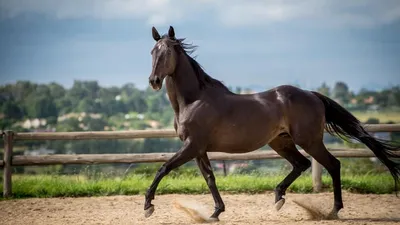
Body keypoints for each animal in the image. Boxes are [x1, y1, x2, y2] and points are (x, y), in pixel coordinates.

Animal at [144, 25, 400, 221]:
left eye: (167, 52)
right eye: (152, 52)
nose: (154, 81)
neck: (193, 100)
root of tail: (312, 94)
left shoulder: (192, 145)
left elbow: (163, 168)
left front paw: (148, 206)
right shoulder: (198, 149)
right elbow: (210, 178)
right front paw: (216, 212)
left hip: (309, 140)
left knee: (332, 164)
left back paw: (333, 211)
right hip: (281, 142)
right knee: (302, 164)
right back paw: (279, 198)